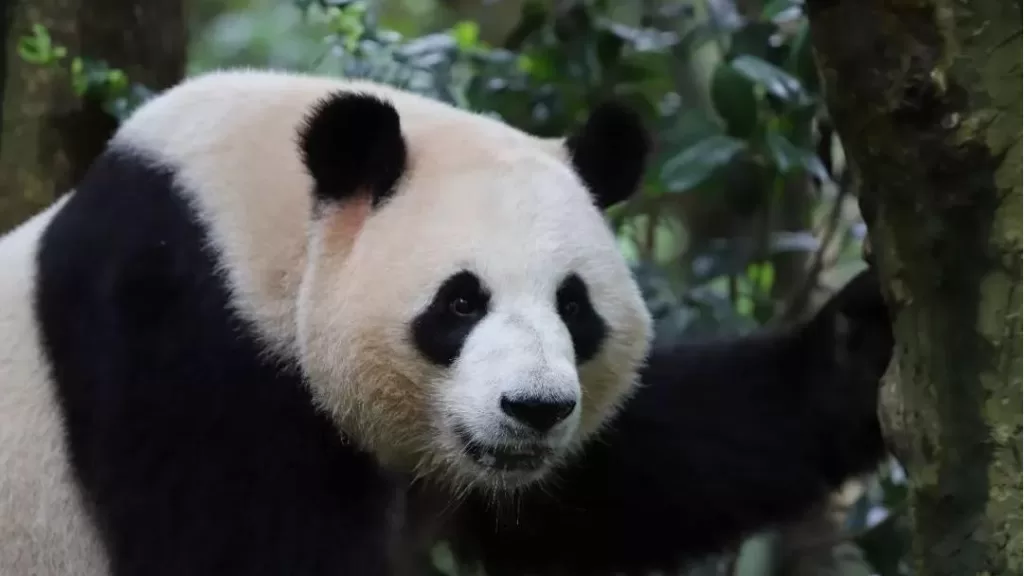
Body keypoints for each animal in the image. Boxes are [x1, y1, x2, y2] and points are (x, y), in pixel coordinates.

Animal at [0, 68, 893, 576]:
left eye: (574, 307)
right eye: (461, 302)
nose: (536, 410)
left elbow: (614, 482)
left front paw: (864, 341)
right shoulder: (182, 330)